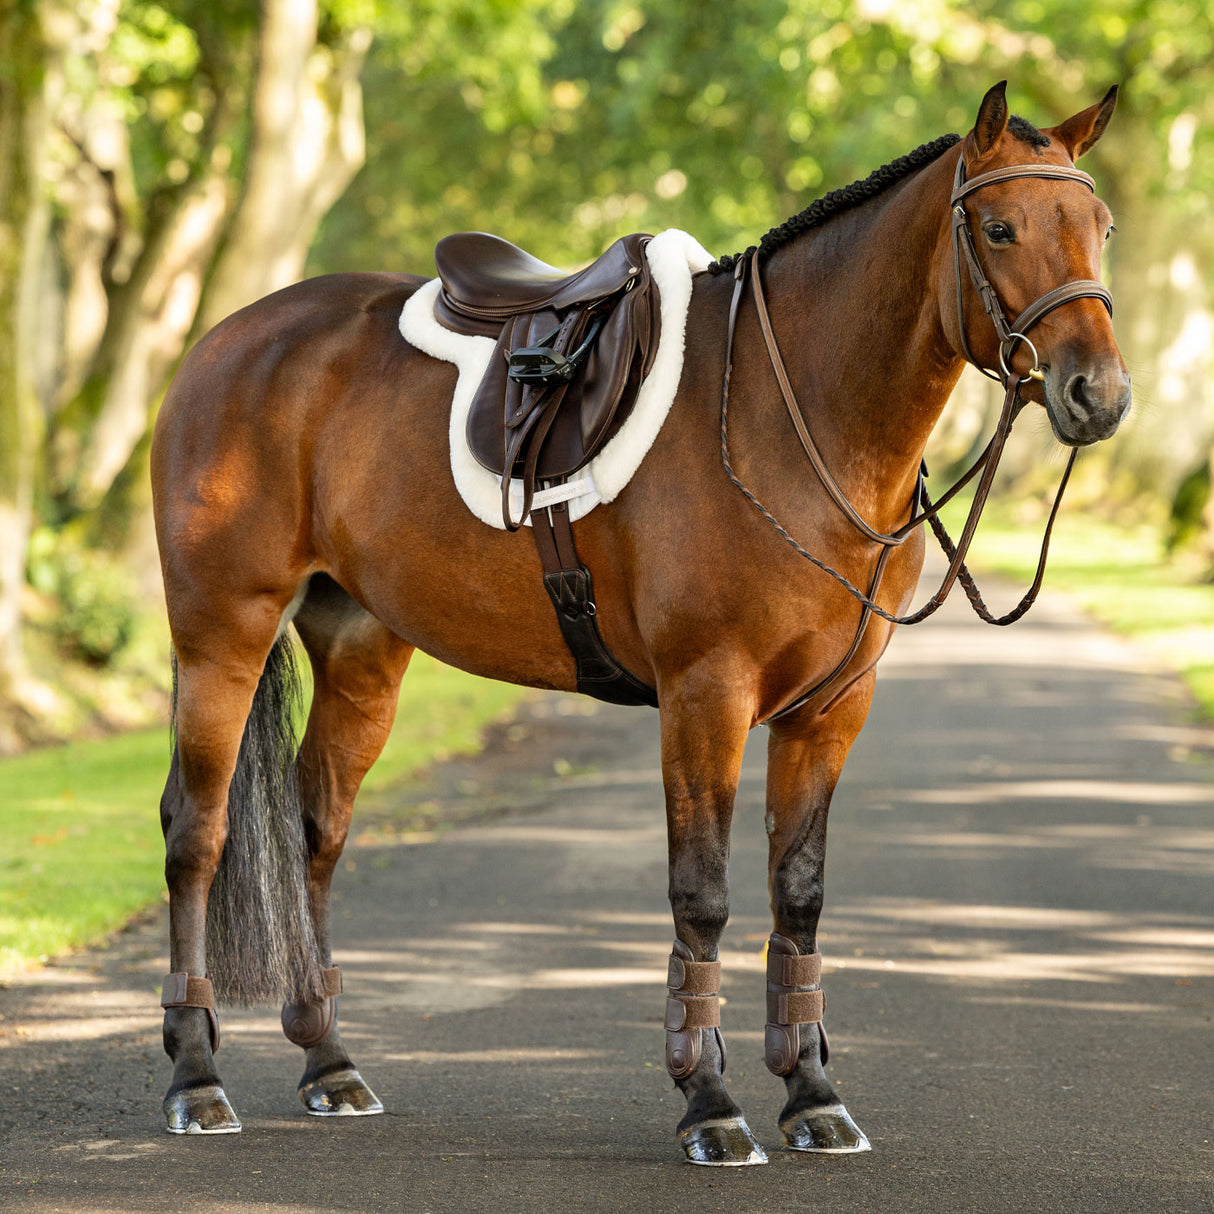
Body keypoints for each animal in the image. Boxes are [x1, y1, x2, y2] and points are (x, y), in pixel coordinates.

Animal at [149, 80, 1126, 1160]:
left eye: (1100, 229)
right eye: (998, 228)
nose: (1097, 392)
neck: (793, 411)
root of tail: (225, 340)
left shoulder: (830, 708)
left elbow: (799, 893)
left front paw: (812, 1094)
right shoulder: (705, 692)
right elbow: (701, 894)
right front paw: (710, 1100)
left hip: (363, 647)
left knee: (316, 826)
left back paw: (330, 1062)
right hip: (221, 633)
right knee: (196, 831)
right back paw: (196, 1077)